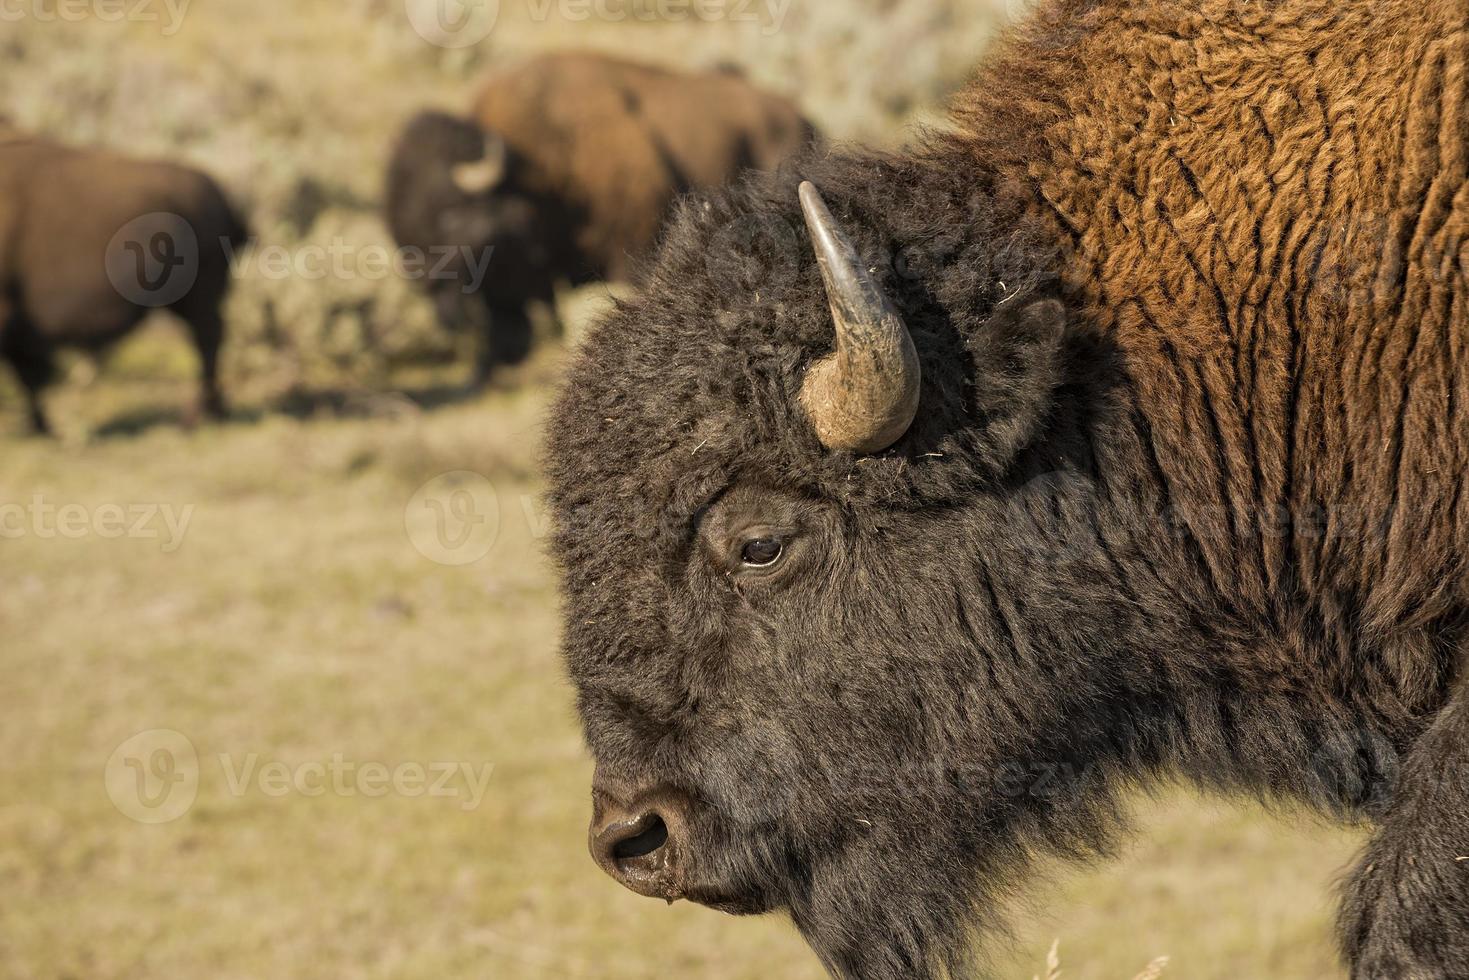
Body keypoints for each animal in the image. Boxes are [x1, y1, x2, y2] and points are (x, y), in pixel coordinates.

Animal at [0, 128, 246, 434]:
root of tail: (222, 199)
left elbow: (27, 374)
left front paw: (41, 427)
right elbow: (28, 375)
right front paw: (40, 426)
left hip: (198, 298)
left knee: (207, 341)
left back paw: (197, 417)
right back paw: (214, 411)